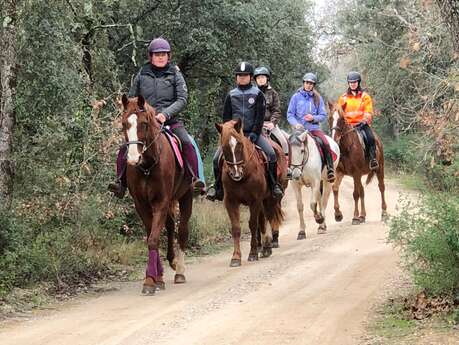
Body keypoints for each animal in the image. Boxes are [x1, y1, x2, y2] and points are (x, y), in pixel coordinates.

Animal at [121, 94, 193, 292]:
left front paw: (149, 281)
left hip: (186, 196)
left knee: (182, 231)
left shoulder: (161, 201)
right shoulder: (141, 204)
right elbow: (151, 236)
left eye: (144, 123)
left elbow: (153, 239)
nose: (133, 158)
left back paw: (180, 271)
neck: (147, 165)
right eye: (124, 124)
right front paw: (156, 278)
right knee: (169, 225)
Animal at [217, 118, 288, 266]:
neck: (245, 174)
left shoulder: (255, 201)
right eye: (224, 146)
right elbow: (236, 228)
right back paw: (265, 246)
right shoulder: (230, 202)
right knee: (263, 219)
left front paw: (253, 253)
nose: (236, 173)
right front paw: (236, 257)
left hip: (271, 198)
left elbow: (253, 225)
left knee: (268, 217)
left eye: (239, 145)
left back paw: (268, 245)